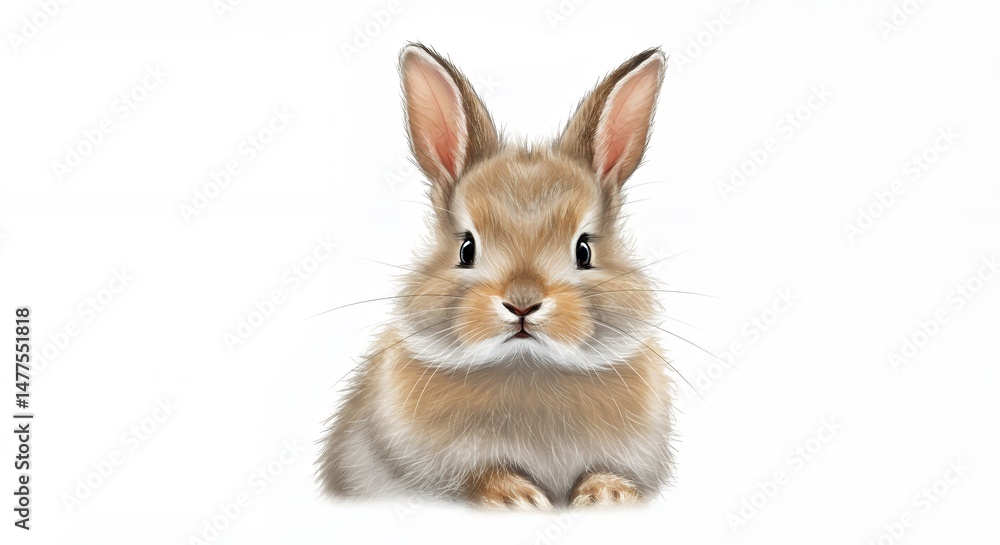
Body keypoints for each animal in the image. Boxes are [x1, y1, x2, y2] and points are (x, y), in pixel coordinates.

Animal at [318, 43, 674, 509]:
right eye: (466, 249)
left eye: (584, 251)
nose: (522, 303)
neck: (528, 368)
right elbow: (477, 476)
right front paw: (516, 497)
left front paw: (607, 493)